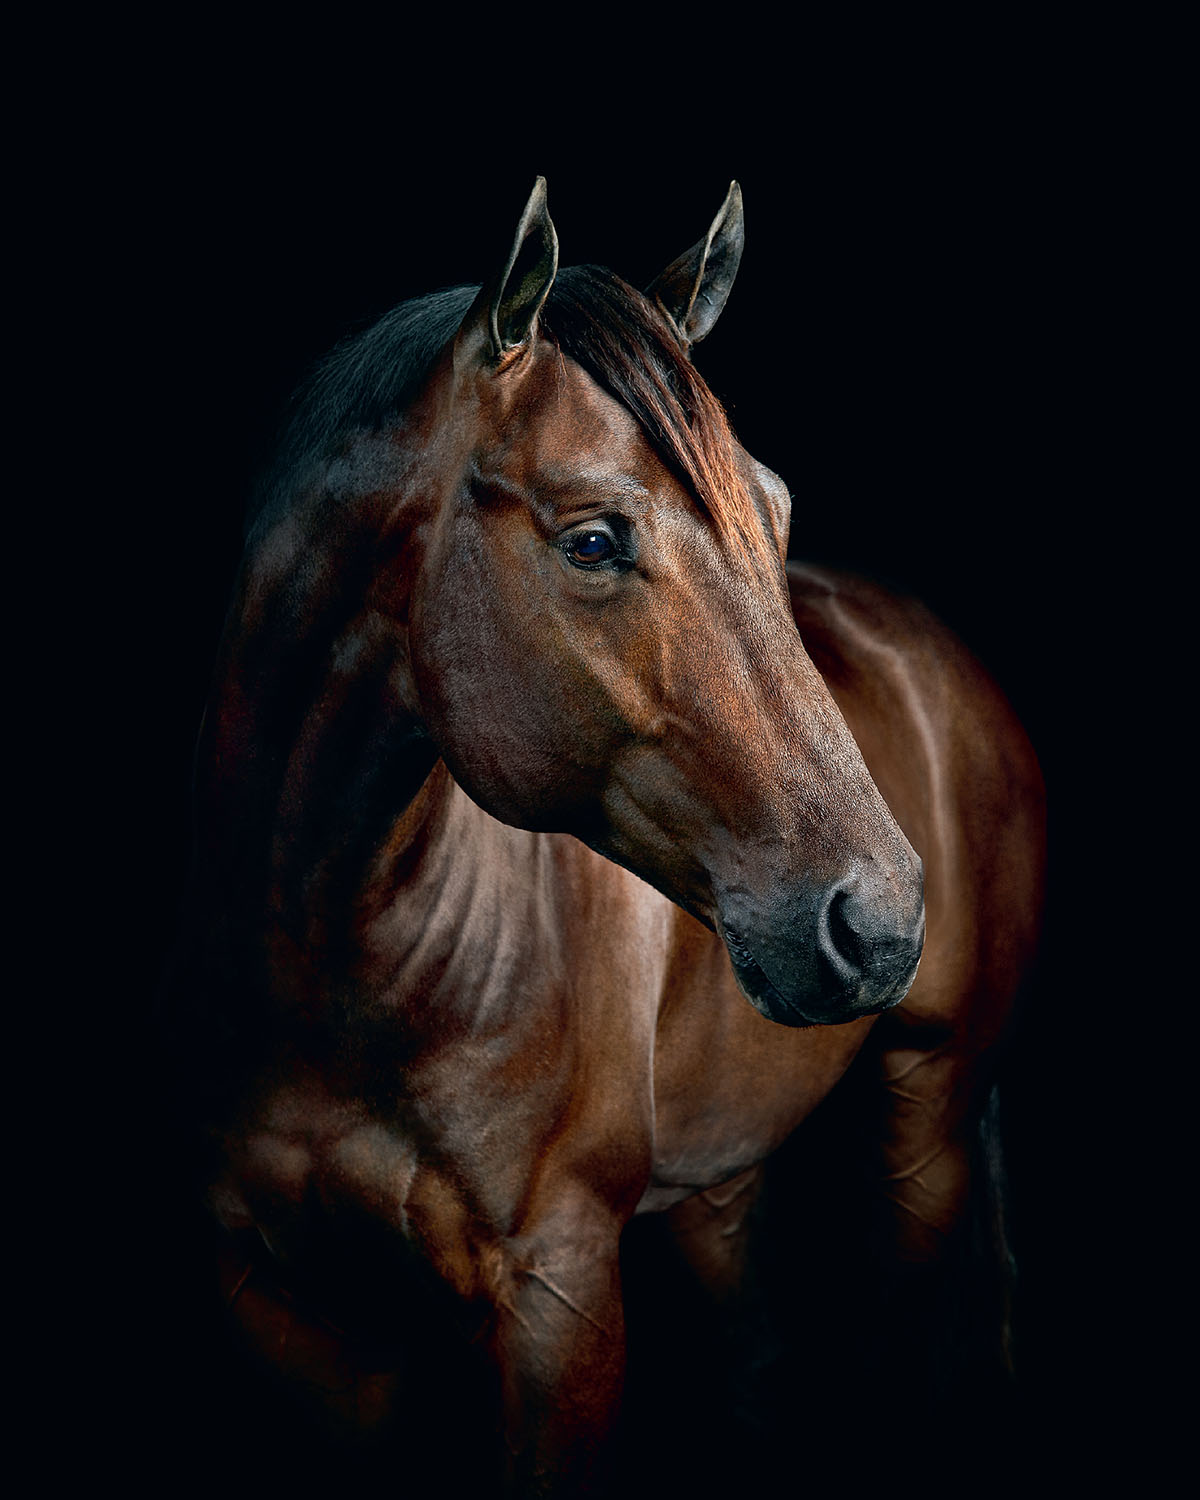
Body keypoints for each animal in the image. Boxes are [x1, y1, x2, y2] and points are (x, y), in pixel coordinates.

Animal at [164, 181, 1044, 1494]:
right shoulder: (287, 1303)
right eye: (592, 540)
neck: (341, 965)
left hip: (923, 1120)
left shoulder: (560, 1289)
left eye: (777, 511)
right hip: (718, 1182)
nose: (880, 921)